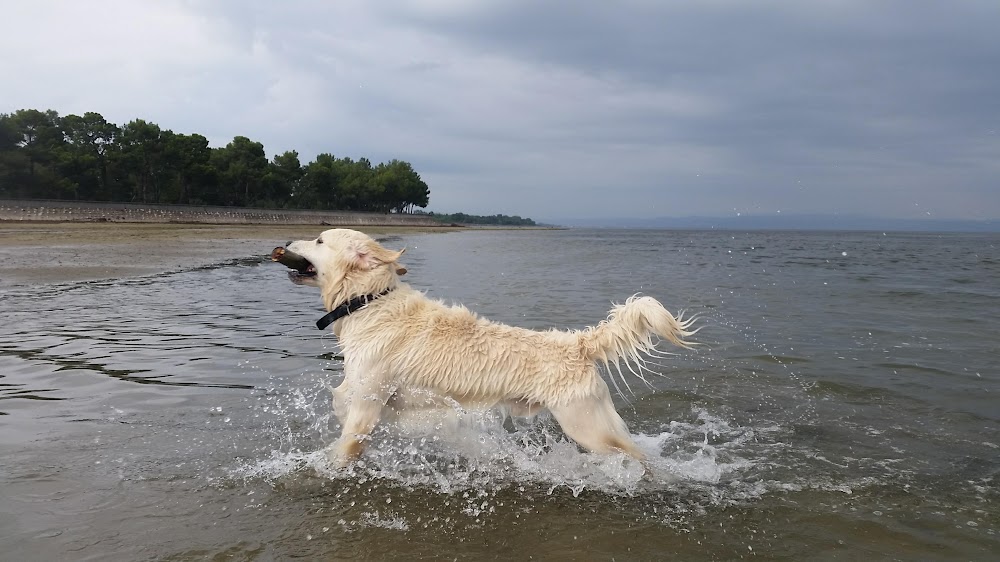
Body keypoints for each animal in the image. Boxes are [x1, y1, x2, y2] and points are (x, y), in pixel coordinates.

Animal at [282, 228, 700, 468]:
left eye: (319, 241)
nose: (283, 243)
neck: (367, 301)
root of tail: (577, 343)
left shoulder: (367, 403)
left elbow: (345, 444)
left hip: (587, 427)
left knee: (637, 456)